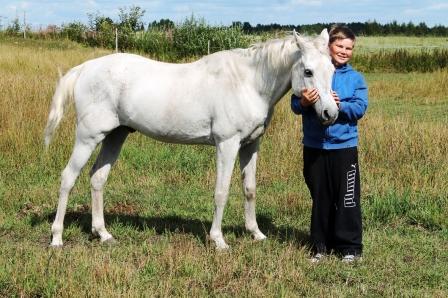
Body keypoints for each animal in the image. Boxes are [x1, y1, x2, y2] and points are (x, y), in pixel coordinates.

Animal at [44, 29, 336, 249]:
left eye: (333, 69)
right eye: (308, 71)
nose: (330, 114)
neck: (248, 82)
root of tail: (85, 69)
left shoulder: (251, 145)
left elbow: (249, 189)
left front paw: (256, 233)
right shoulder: (227, 144)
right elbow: (221, 192)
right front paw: (218, 241)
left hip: (115, 136)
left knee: (97, 178)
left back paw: (103, 233)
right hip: (88, 137)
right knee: (68, 178)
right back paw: (57, 238)